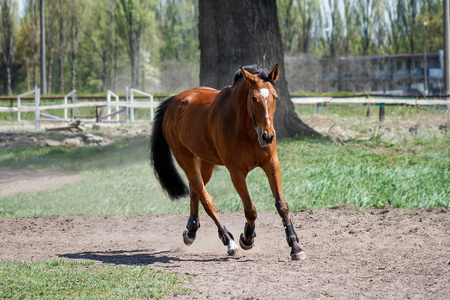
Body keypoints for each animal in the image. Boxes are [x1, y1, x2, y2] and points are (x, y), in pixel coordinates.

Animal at [151, 63, 306, 260]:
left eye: (275, 97)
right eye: (254, 98)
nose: (268, 136)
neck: (246, 129)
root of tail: (175, 102)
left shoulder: (271, 164)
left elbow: (282, 205)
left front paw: (295, 246)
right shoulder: (236, 173)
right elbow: (250, 209)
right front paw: (247, 238)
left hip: (206, 163)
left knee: (195, 191)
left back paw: (191, 231)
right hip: (186, 159)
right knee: (206, 199)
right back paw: (228, 241)